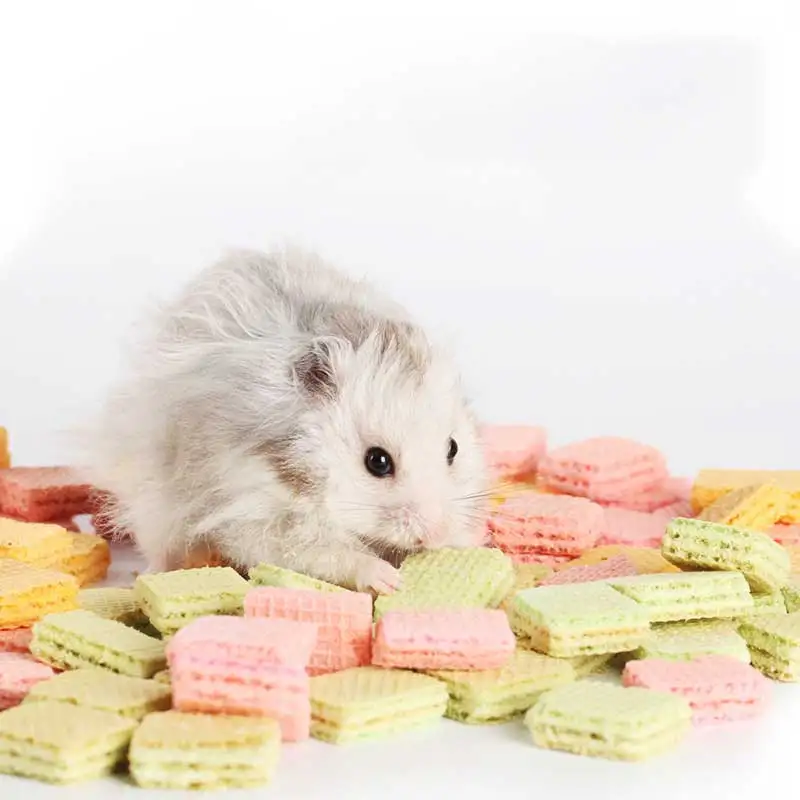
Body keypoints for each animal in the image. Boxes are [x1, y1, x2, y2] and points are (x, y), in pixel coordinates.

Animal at [84, 247, 490, 593]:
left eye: (452, 449)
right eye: (377, 462)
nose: (435, 534)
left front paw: (464, 543)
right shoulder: (254, 515)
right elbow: (326, 552)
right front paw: (388, 579)